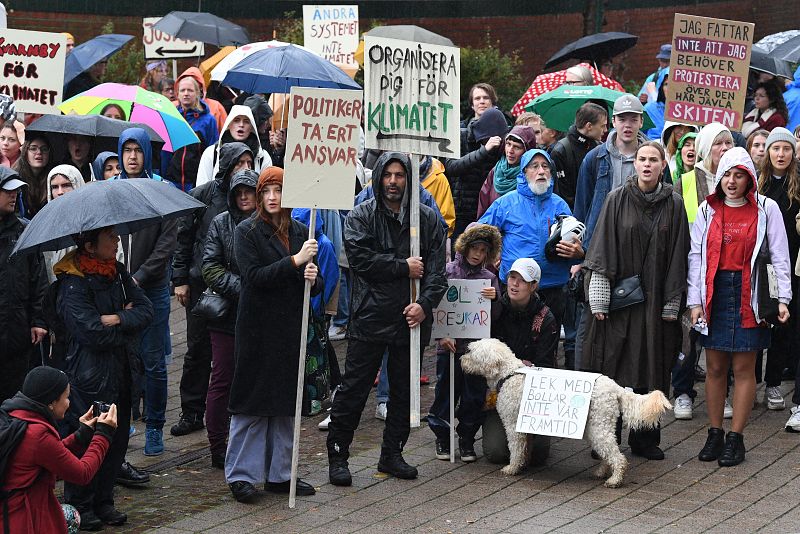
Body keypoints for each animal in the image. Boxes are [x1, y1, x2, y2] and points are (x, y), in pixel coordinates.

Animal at [460, 342, 672, 488]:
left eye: (471, 352)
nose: (461, 358)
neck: (509, 374)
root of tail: (615, 387)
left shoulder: (513, 426)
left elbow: (516, 449)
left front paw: (512, 468)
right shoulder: (526, 424)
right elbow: (526, 448)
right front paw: (523, 465)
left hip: (598, 428)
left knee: (618, 458)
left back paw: (614, 480)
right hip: (597, 427)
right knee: (608, 453)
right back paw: (602, 472)